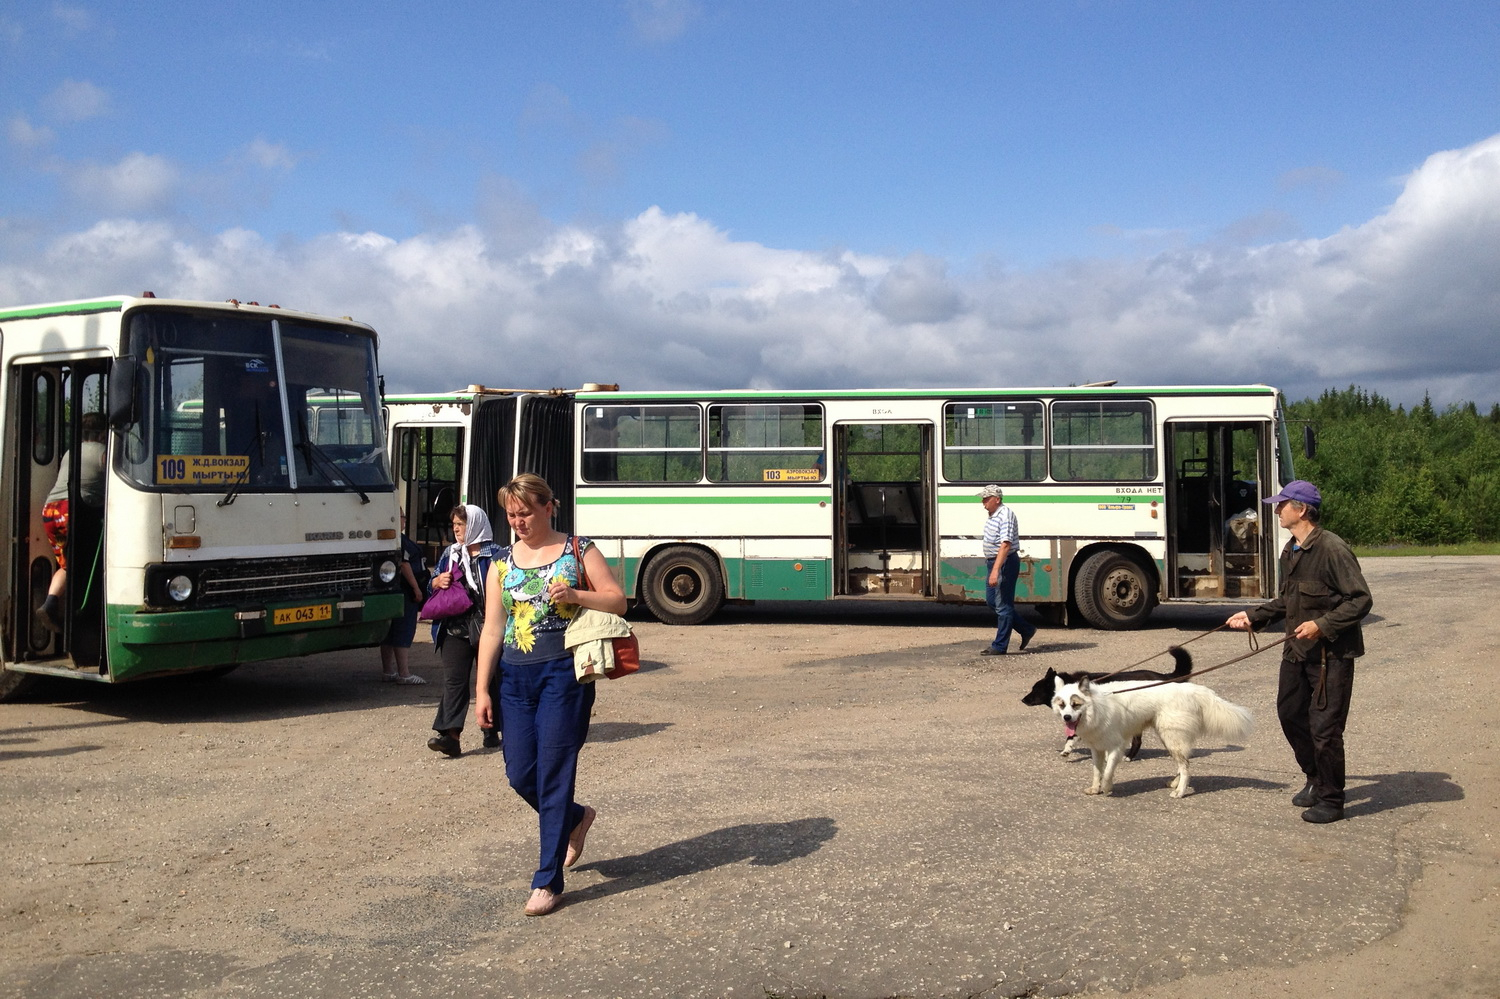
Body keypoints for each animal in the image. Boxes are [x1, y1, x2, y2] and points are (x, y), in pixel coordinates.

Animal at [1056, 672, 1254, 798]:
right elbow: (1097, 771)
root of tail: (1193, 690)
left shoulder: (1116, 747)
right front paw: (1095, 788)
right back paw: (1176, 783)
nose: (1067, 718)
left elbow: (1108, 771)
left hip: (1171, 738)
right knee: (1183, 764)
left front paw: (1106, 787)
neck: (1097, 707)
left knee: (1185, 767)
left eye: (1075, 704)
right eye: (1062, 705)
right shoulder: (1097, 749)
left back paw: (1180, 792)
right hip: (1171, 739)